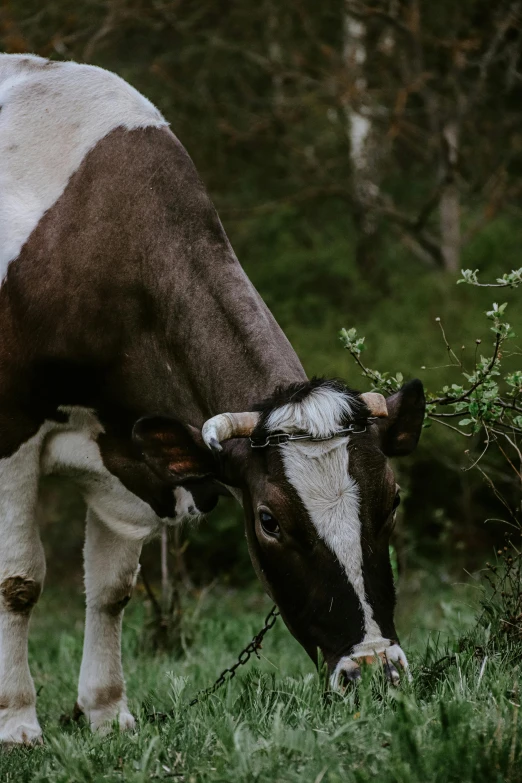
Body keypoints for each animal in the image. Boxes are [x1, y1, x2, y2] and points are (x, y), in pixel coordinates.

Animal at [0, 55, 422, 748]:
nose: (372, 672)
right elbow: (19, 580)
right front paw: (16, 723)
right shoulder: (10, 431)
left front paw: (108, 714)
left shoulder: (126, 454)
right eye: (269, 520)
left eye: (393, 499)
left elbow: (111, 589)